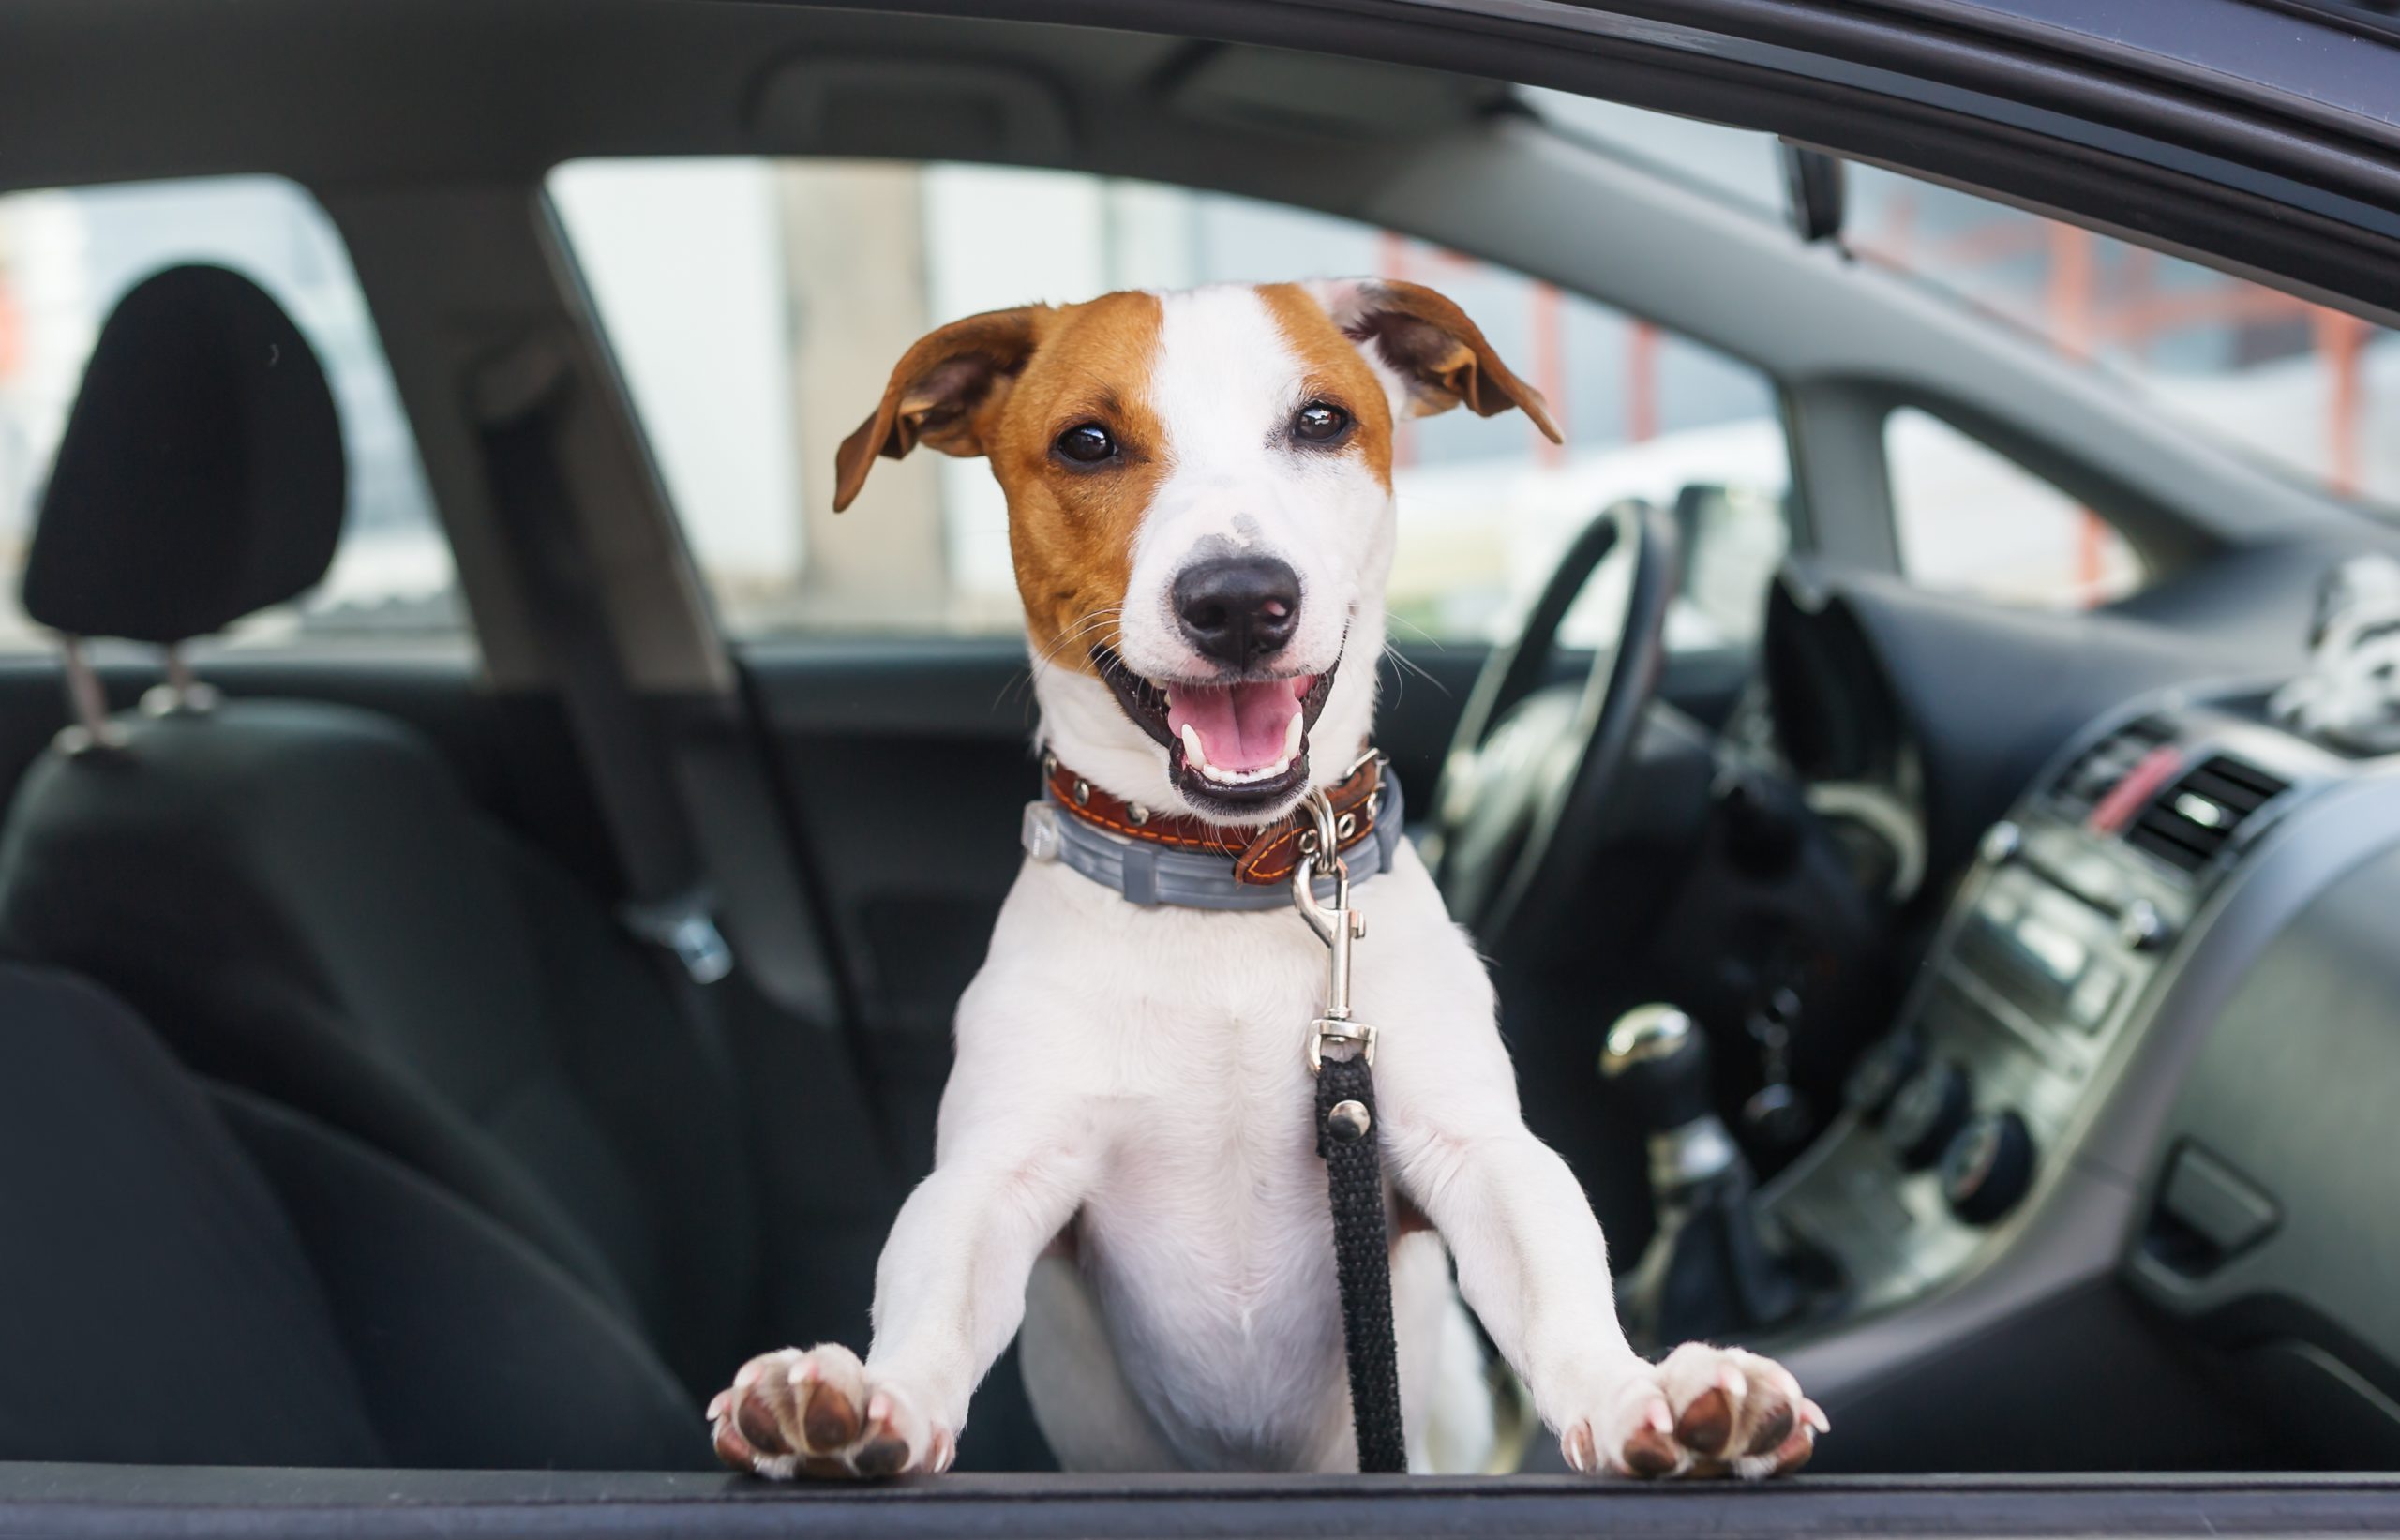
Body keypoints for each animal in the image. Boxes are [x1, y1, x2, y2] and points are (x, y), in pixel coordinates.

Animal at [700, 276, 1823, 1477]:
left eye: (1322, 421)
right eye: (1086, 442)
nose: (1239, 598)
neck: (1225, 881)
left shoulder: (1470, 1149)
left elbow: (1557, 1273)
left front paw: (1640, 1392)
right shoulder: (994, 1176)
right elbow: (932, 1295)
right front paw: (869, 1400)